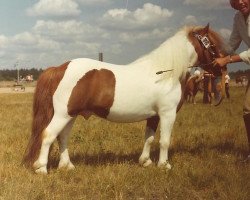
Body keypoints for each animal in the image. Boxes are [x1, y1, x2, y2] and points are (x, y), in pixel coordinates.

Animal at [23, 24, 227, 173]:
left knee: (62, 137)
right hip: (63, 114)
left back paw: (67, 166)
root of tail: (60, 68)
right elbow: (164, 140)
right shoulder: (167, 114)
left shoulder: (154, 115)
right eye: (213, 45)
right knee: (48, 134)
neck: (166, 73)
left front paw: (145, 161)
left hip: (70, 115)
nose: (222, 68)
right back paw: (41, 168)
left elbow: (149, 138)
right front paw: (164, 165)